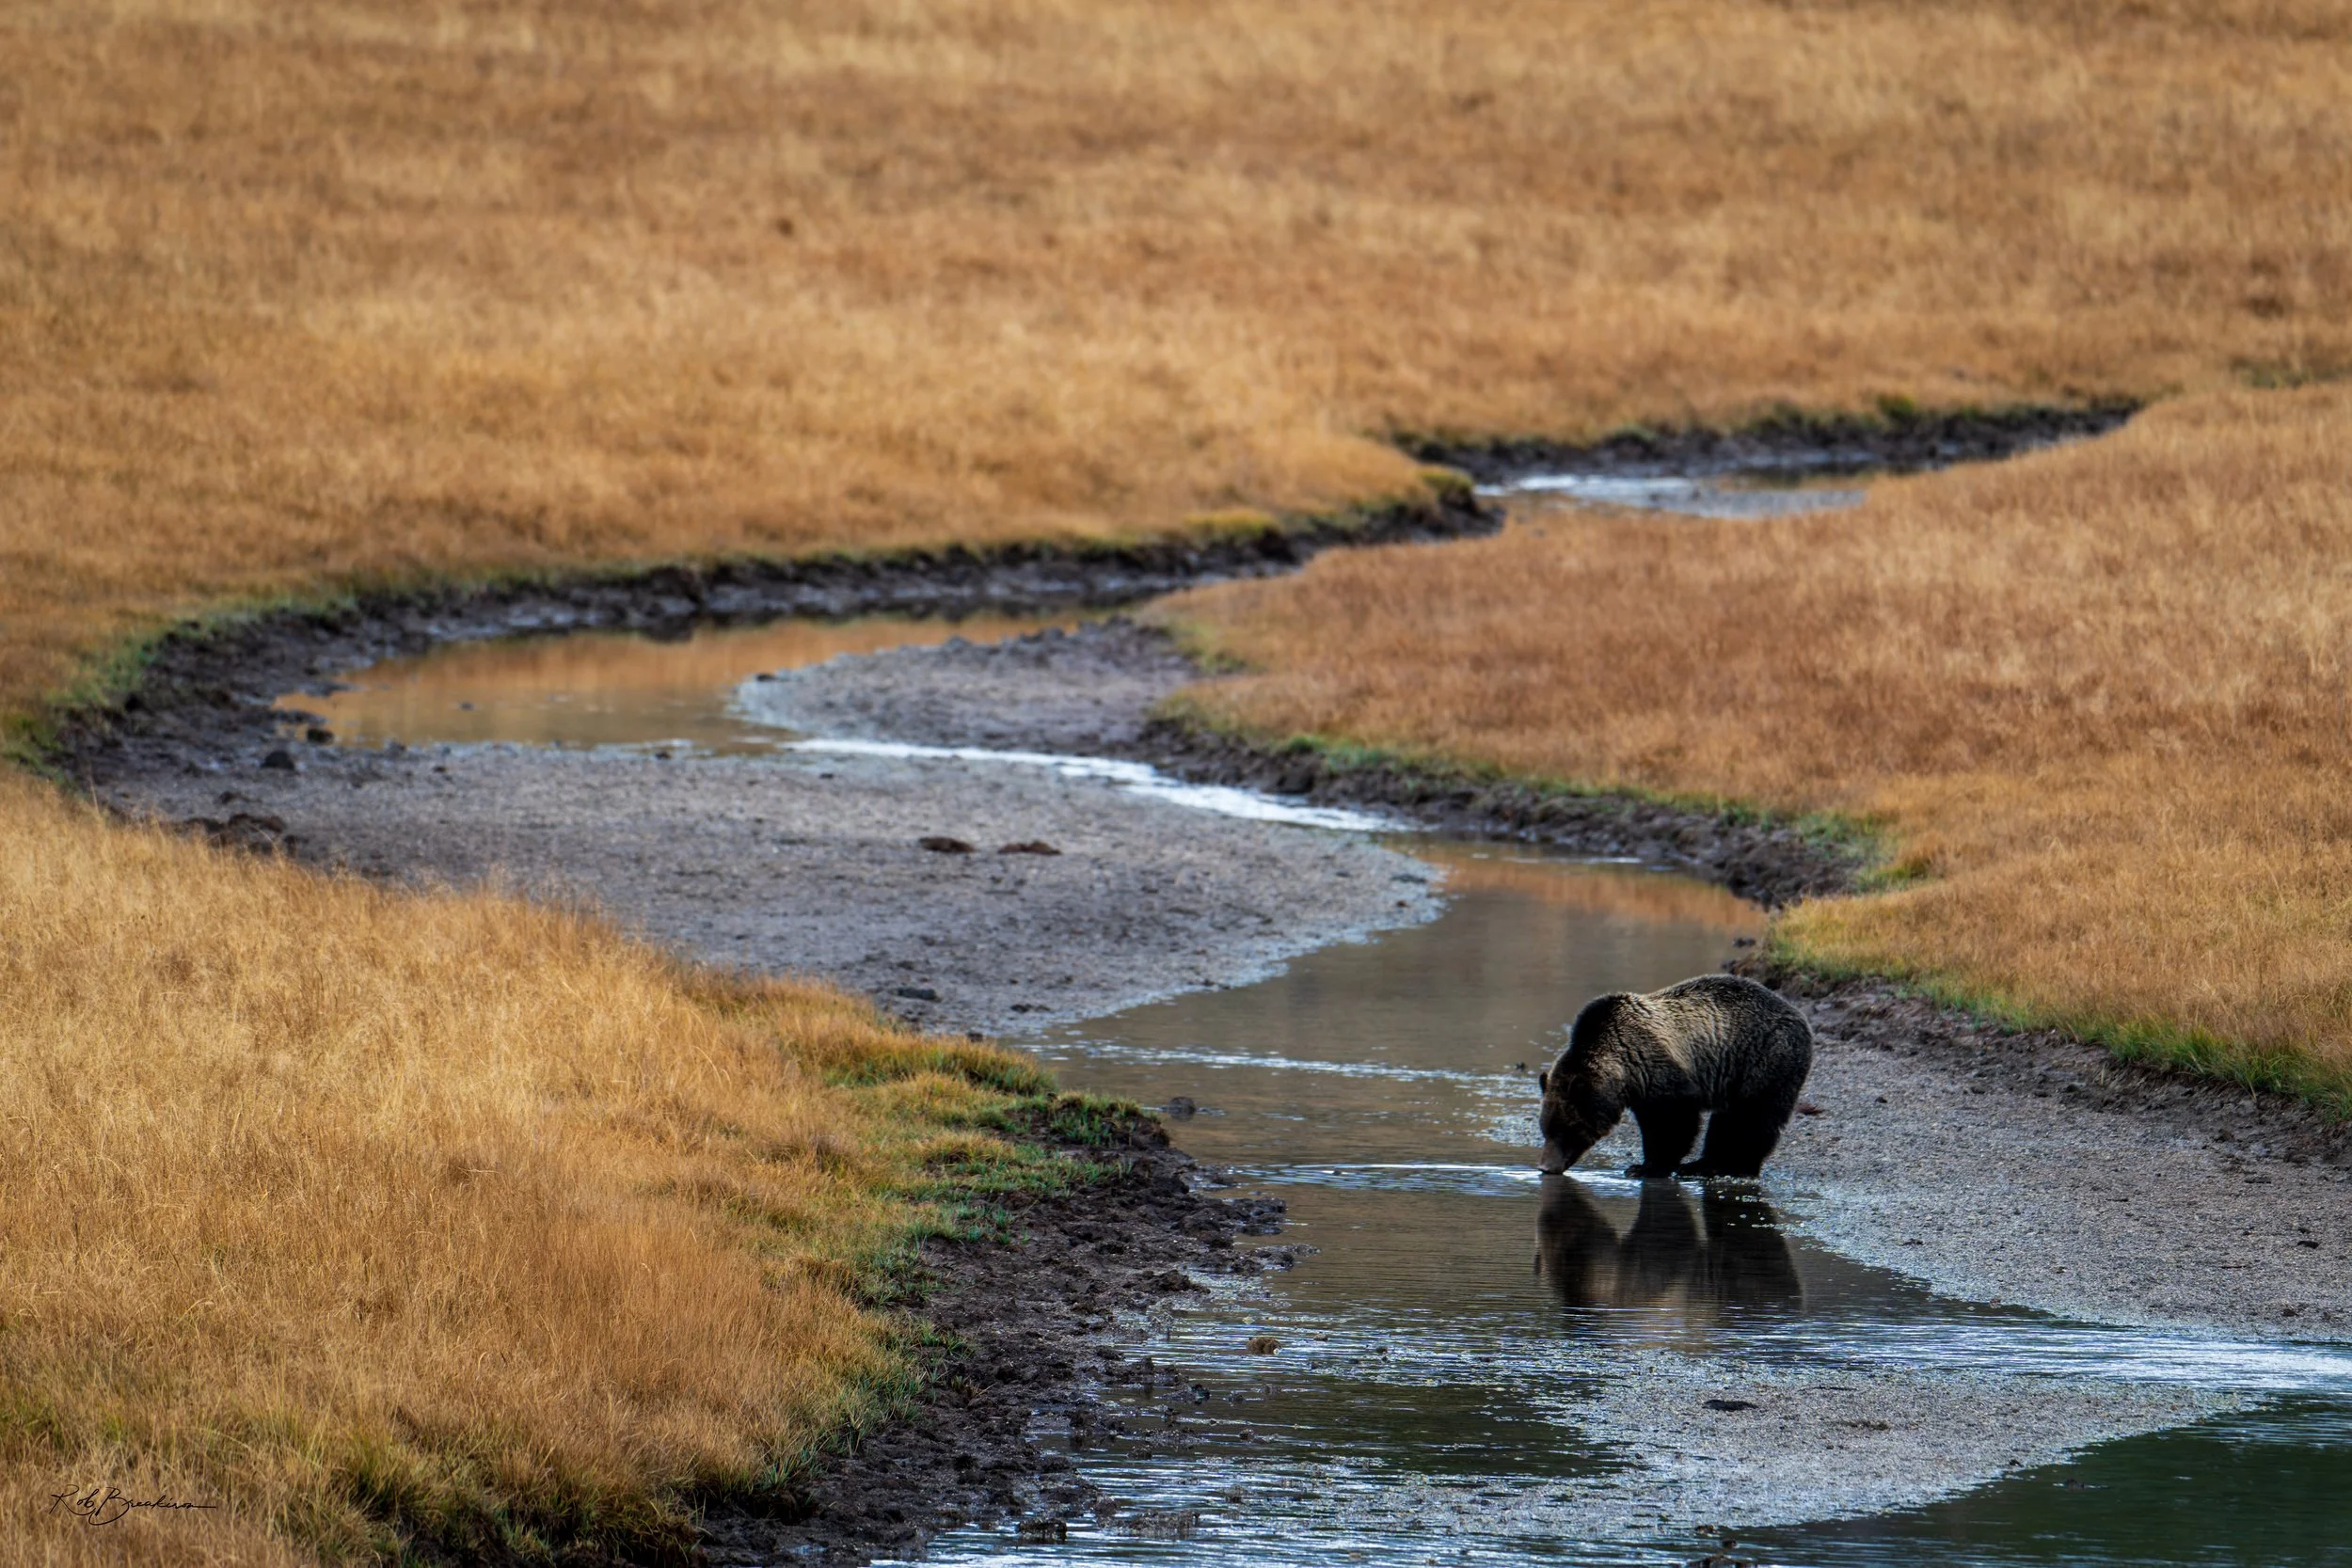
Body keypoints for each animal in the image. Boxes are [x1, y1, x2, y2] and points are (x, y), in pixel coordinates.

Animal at [1536, 973, 1813, 1179]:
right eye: (1545, 1128)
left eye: (1567, 1128)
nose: (1546, 1167)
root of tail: (1800, 1016)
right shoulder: (1640, 1089)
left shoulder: (1659, 1072)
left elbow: (1673, 1122)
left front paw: (1645, 1167)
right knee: (1728, 1120)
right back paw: (1703, 1164)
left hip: (1763, 1058)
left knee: (1752, 1116)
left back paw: (1734, 1166)